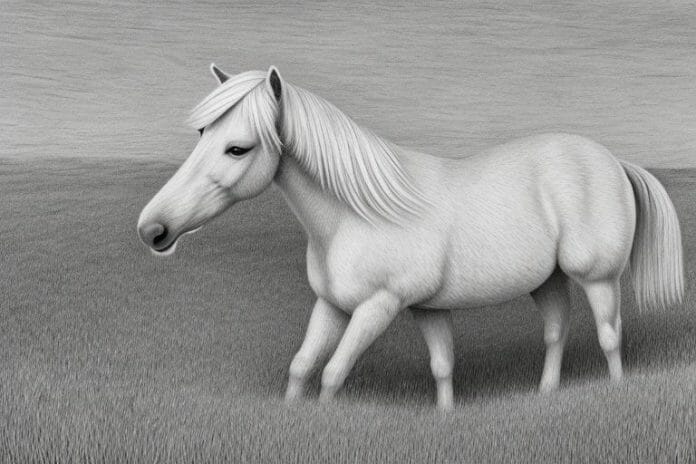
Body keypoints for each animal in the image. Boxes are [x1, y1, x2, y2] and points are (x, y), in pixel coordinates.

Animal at [137, 64, 684, 411]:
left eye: (238, 148)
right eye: (202, 134)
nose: (152, 230)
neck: (357, 217)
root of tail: (611, 159)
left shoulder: (378, 307)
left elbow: (333, 372)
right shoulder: (345, 306)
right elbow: (308, 366)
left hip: (598, 278)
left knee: (610, 335)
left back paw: (614, 391)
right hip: (545, 280)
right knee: (555, 331)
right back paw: (546, 394)